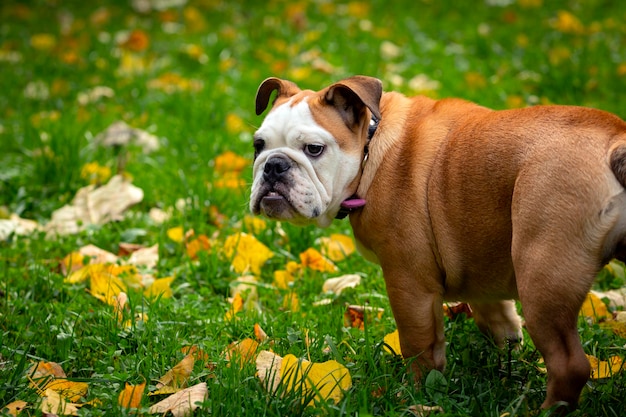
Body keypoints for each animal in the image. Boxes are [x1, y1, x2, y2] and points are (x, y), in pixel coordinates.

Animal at [247, 75, 624, 410]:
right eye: (258, 146)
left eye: (314, 149)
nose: (274, 165)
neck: (370, 147)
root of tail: (614, 141)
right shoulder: (482, 266)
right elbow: (498, 317)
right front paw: (507, 358)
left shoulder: (409, 283)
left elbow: (420, 345)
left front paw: (416, 394)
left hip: (543, 276)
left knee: (569, 365)